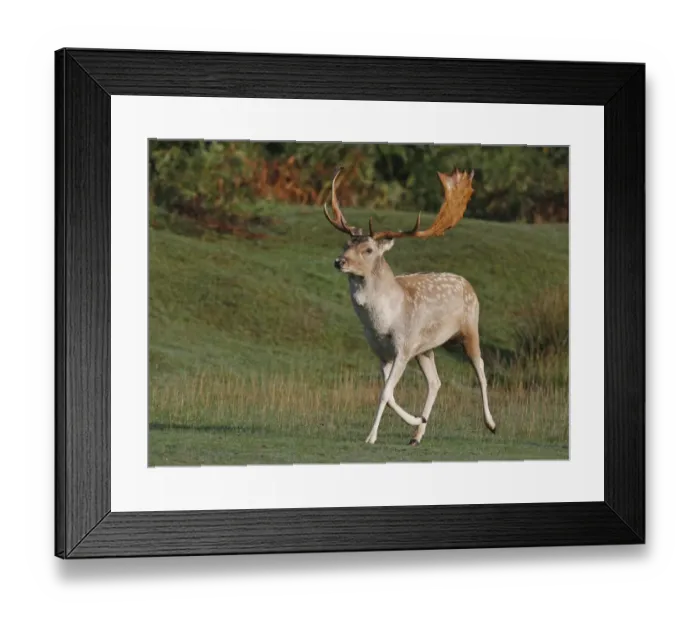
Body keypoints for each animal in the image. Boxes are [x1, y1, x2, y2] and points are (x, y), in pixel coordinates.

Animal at [324, 167, 496, 446]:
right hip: (425, 349)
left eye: (368, 249)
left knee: (480, 369)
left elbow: (385, 393)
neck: (382, 322)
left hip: (470, 327)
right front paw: (417, 420)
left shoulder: (403, 347)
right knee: (436, 382)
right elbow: (389, 393)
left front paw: (371, 436)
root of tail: (468, 283)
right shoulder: (382, 352)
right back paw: (417, 435)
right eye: (346, 244)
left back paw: (491, 424)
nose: (340, 262)